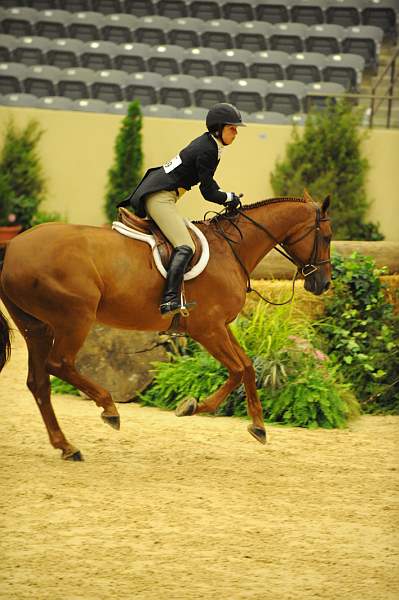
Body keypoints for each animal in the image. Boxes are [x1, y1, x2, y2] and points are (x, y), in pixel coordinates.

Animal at [0, 190, 332, 462]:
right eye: (327, 236)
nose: (323, 284)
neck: (230, 249)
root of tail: (12, 249)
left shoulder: (221, 326)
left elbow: (248, 367)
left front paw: (259, 427)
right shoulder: (208, 329)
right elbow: (237, 370)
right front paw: (192, 406)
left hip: (37, 328)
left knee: (39, 382)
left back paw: (67, 446)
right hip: (74, 319)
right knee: (59, 364)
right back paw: (109, 409)